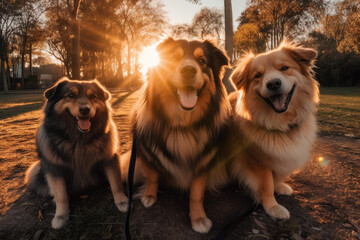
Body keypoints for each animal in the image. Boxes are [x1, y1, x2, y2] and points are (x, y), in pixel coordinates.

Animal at [25, 78, 127, 229]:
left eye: (92, 96)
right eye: (71, 95)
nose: (85, 109)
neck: (79, 140)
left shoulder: (110, 159)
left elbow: (116, 183)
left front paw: (122, 201)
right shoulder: (55, 169)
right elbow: (61, 195)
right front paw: (61, 216)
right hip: (35, 171)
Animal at [131, 38, 232, 232]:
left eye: (202, 61)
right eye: (173, 59)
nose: (188, 70)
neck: (182, 126)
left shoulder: (203, 161)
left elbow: (196, 192)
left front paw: (198, 218)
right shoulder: (147, 152)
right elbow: (153, 176)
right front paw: (149, 195)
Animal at [229, 41, 320, 219]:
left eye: (284, 68)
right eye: (258, 75)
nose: (273, 84)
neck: (281, 124)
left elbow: (277, 176)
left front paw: (280, 186)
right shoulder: (258, 161)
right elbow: (267, 185)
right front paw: (272, 207)